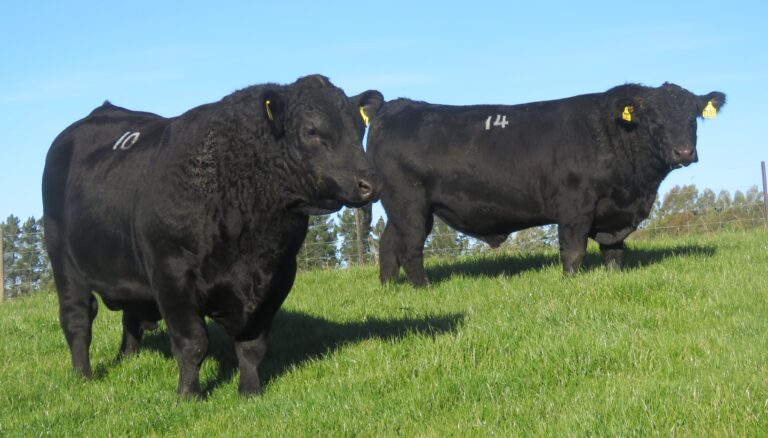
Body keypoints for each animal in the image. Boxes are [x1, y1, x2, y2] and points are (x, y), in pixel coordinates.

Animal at [40, 75, 382, 396]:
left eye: (359, 129)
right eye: (312, 131)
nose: (369, 184)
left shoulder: (280, 276)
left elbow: (252, 346)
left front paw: (250, 391)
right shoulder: (172, 274)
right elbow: (193, 343)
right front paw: (189, 395)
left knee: (130, 318)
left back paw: (128, 357)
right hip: (64, 261)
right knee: (77, 319)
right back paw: (83, 376)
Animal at [366, 82, 728, 288]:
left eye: (694, 117)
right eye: (654, 119)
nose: (684, 152)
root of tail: (395, 106)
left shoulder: (615, 212)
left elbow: (614, 253)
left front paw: (613, 278)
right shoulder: (575, 206)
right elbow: (573, 251)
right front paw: (569, 283)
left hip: (399, 208)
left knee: (388, 244)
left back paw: (388, 287)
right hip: (410, 204)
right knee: (409, 248)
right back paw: (423, 287)